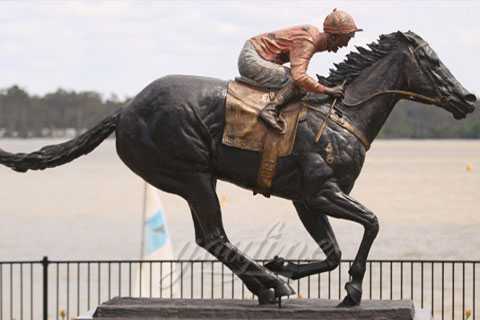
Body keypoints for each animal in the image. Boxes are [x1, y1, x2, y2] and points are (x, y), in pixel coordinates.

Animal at [0, 31, 474, 306]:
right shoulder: (321, 191)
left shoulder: (307, 200)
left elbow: (333, 252)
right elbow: (372, 223)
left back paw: (266, 283)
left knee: (210, 237)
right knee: (212, 236)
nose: (468, 99)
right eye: (433, 62)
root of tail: (124, 111)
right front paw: (349, 290)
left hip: (194, 180)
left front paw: (286, 266)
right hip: (191, 175)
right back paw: (268, 284)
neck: (342, 112)